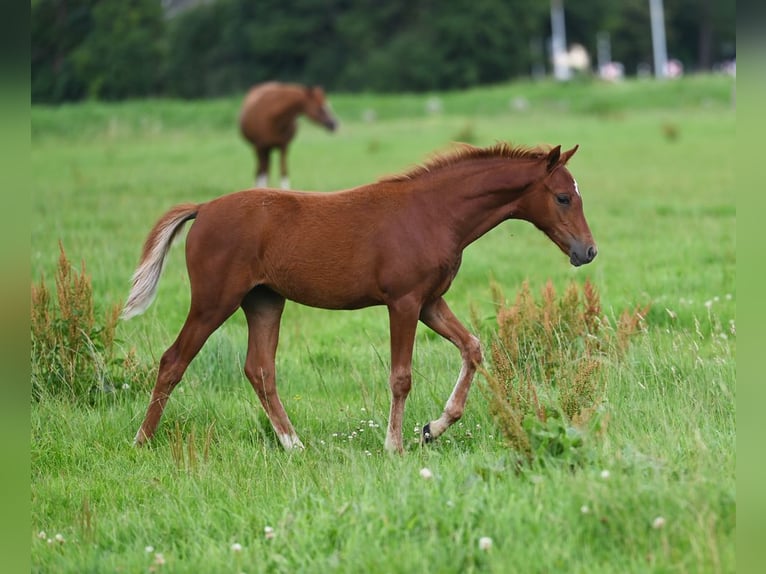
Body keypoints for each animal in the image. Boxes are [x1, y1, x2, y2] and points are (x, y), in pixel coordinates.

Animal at [121, 143, 600, 454]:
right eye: (562, 197)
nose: (588, 251)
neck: (433, 214)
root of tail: (203, 209)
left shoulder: (430, 302)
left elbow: (473, 347)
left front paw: (432, 428)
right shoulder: (404, 302)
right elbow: (401, 376)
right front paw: (394, 446)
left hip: (264, 301)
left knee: (259, 370)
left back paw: (294, 445)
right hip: (213, 301)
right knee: (174, 360)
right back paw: (142, 440)